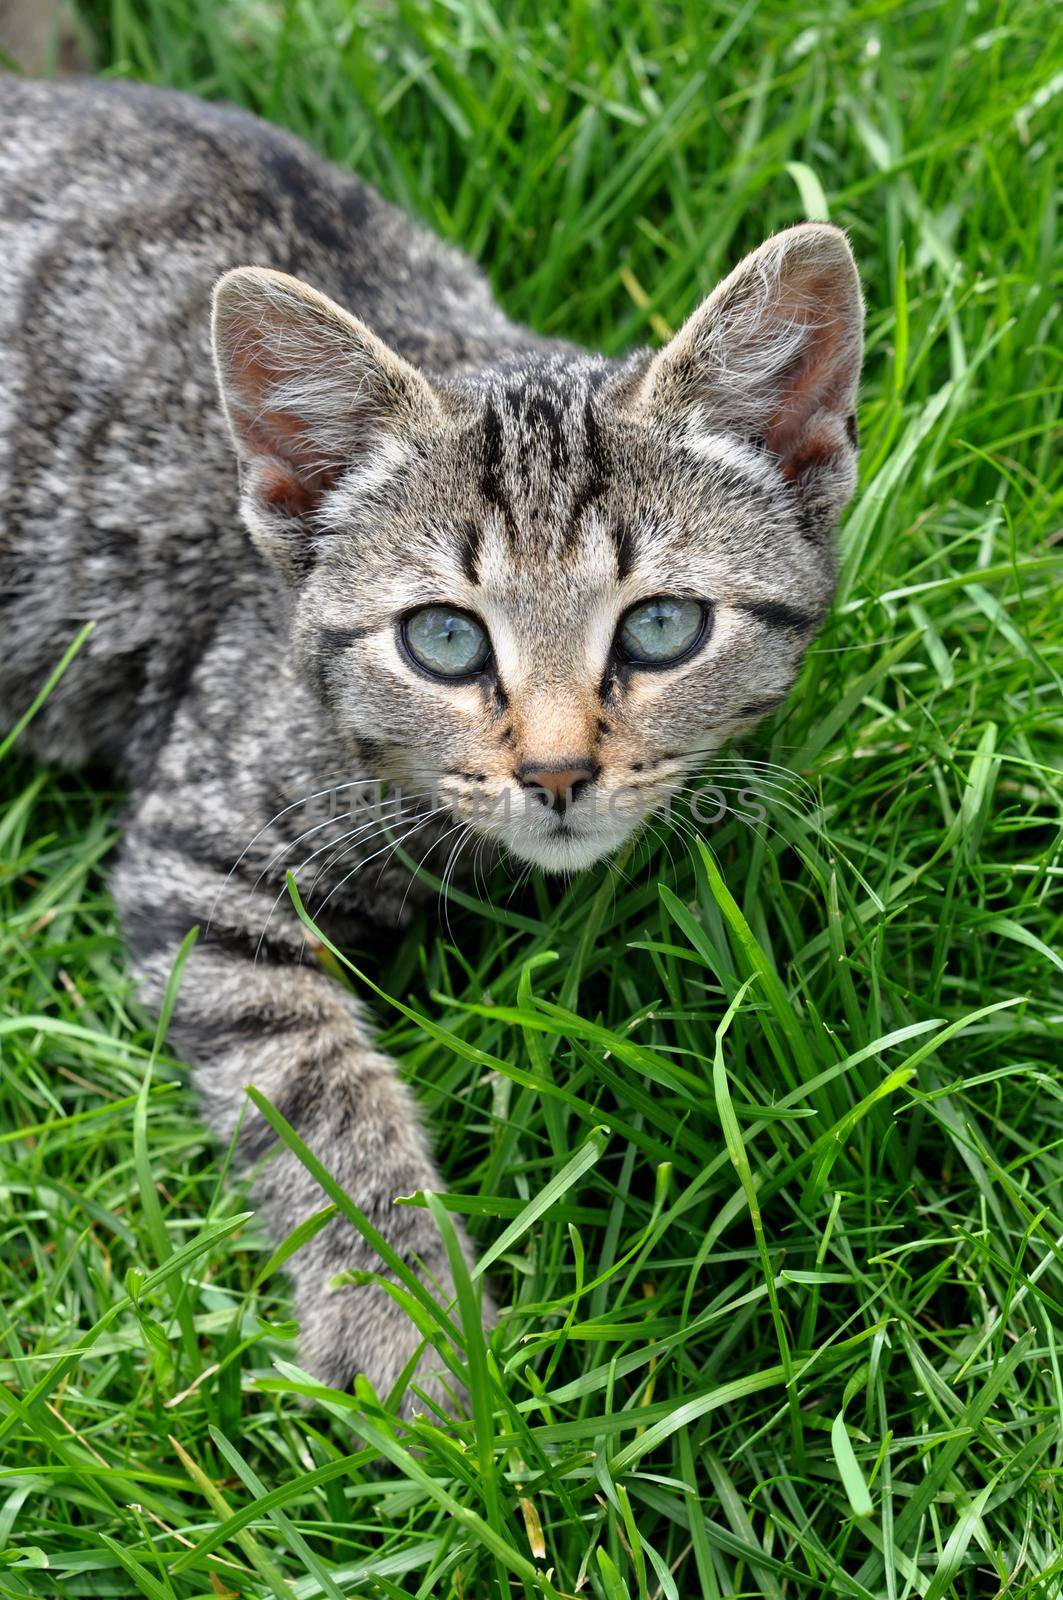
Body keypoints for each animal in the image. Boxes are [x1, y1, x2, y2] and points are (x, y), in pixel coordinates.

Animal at [0, 78, 864, 1401]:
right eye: (445, 642)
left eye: (661, 626)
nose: (556, 771)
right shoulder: (198, 856)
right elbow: (311, 1091)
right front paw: (402, 1318)